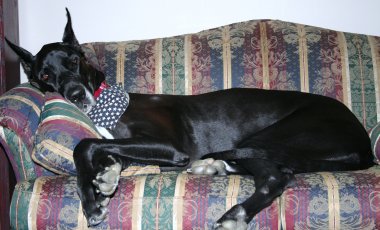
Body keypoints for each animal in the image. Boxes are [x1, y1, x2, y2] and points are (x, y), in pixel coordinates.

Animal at [8, 9, 374, 230]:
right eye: (44, 74)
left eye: (73, 60)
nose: (74, 95)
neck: (105, 104)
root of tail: (364, 143)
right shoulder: (145, 149)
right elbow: (110, 151)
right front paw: (108, 175)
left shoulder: (170, 147)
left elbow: (85, 144)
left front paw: (91, 202)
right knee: (272, 169)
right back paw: (213, 168)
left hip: (272, 135)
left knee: (276, 174)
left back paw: (235, 212)